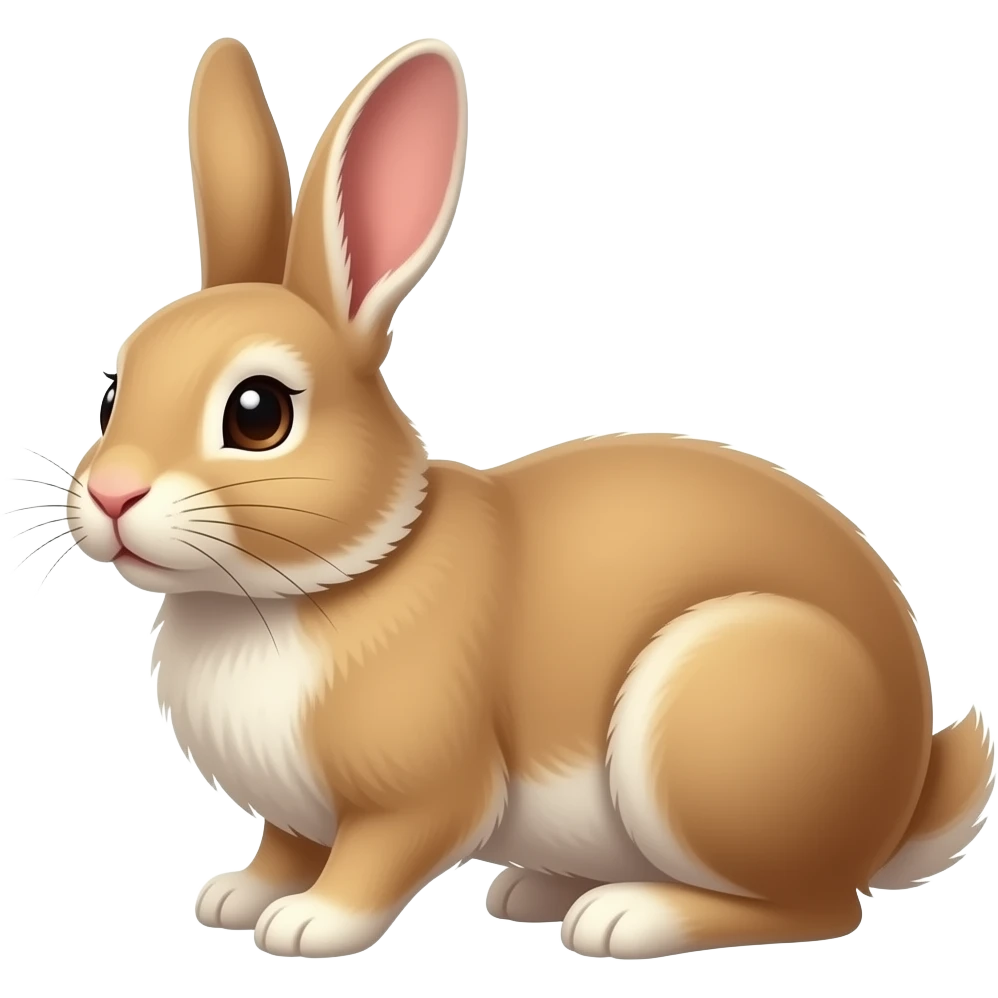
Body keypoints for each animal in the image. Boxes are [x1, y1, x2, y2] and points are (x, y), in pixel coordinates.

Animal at [60, 36, 995, 961]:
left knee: (820, 906)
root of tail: (901, 800)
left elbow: (378, 855)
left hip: (718, 718)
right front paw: (234, 896)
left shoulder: (421, 790)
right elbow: (283, 846)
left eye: (259, 414)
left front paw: (308, 924)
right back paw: (536, 890)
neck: (319, 579)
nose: (111, 494)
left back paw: (626, 916)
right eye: (110, 395)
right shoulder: (293, 813)